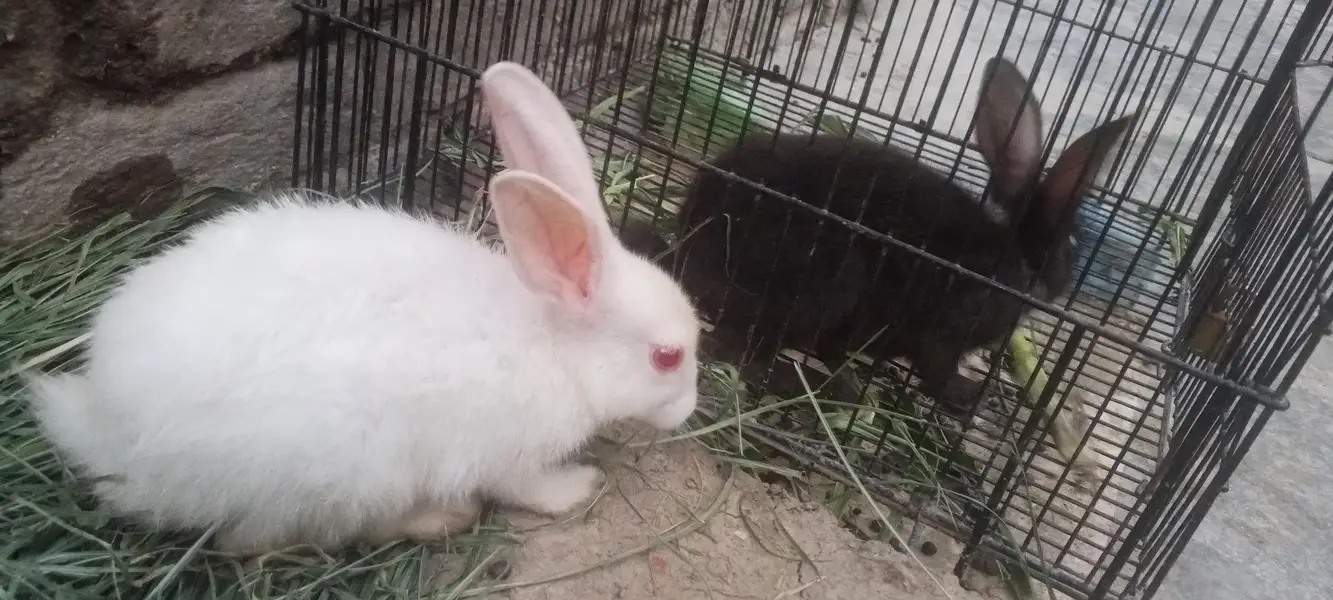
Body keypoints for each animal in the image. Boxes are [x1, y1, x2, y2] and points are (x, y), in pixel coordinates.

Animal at [21, 61, 702, 556]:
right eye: (667, 357)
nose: (689, 410)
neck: (556, 343)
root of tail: (106, 428)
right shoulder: (505, 455)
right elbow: (530, 488)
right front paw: (579, 487)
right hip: (339, 474)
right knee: (258, 542)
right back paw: (438, 517)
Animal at [625, 56, 1135, 415]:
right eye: (1073, 244)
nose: (1064, 279)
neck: (1012, 257)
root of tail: (687, 246)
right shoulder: (948, 328)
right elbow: (936, 369)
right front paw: (968, 396)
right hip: (827, 283)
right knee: (737, 348)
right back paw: (819, 386)